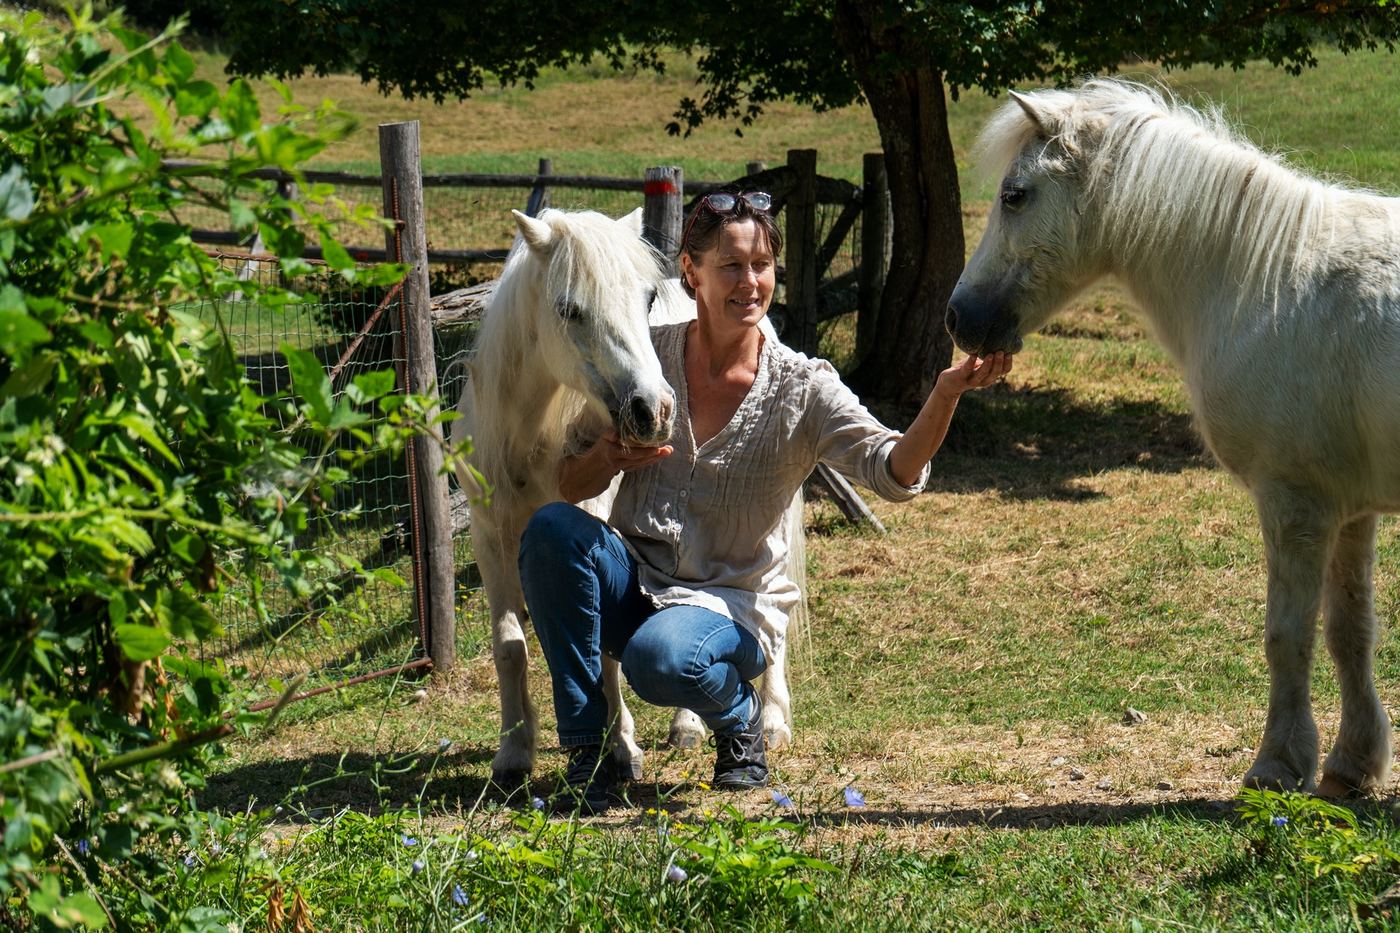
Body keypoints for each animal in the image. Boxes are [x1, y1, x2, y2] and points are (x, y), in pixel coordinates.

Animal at [451, 207, 801, 788]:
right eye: (569, 309)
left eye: (648, 299)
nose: (653, 410)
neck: (529, 437)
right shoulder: (489, 536)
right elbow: (510, 648)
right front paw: (514, 752)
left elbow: (609, 654)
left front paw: (620, 749)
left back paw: (764, 720)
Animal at [947, 78, 1400, 796]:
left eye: (1014, 195)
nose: (959, 317)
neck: (1267, 280)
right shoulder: (1350, 510)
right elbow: (1349, 632)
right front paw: (1351, 763)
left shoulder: (1294, 504)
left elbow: (1288, 635)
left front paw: (1277, 764)